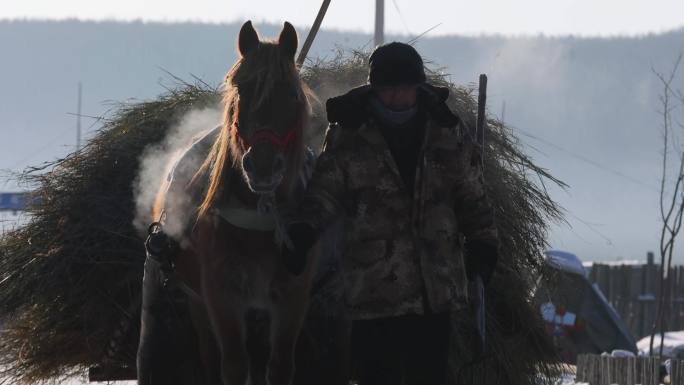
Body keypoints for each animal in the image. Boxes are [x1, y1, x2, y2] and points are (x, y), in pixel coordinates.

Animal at [147, 20, 318, 384]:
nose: (263, 166)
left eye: (291, 94)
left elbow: (280, 365)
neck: (257, 217)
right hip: (196, 302)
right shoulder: (220, 297)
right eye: (242, 92)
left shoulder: (292, 298)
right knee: (212, 358)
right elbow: (234, 364)